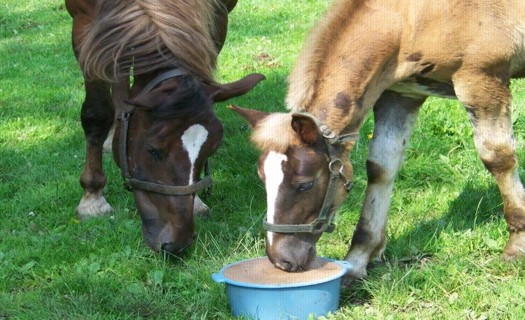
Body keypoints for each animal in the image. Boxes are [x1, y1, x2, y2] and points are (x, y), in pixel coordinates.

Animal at [65, 0, 262, 255]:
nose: (177, 242)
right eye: (153, 151)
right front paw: (92, 197)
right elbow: (96, 114)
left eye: (212, 149)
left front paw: (197, 201)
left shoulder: (216, 15)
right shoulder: (84, 23)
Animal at [232, 0, 524, 276]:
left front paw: (517, 244)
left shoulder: (481, 80)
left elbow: (498, 158)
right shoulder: (400, 94)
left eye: (305, 184)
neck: (411, 19)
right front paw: (357, 260)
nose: (281, 260)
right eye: (262, 179)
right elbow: (381, 168)